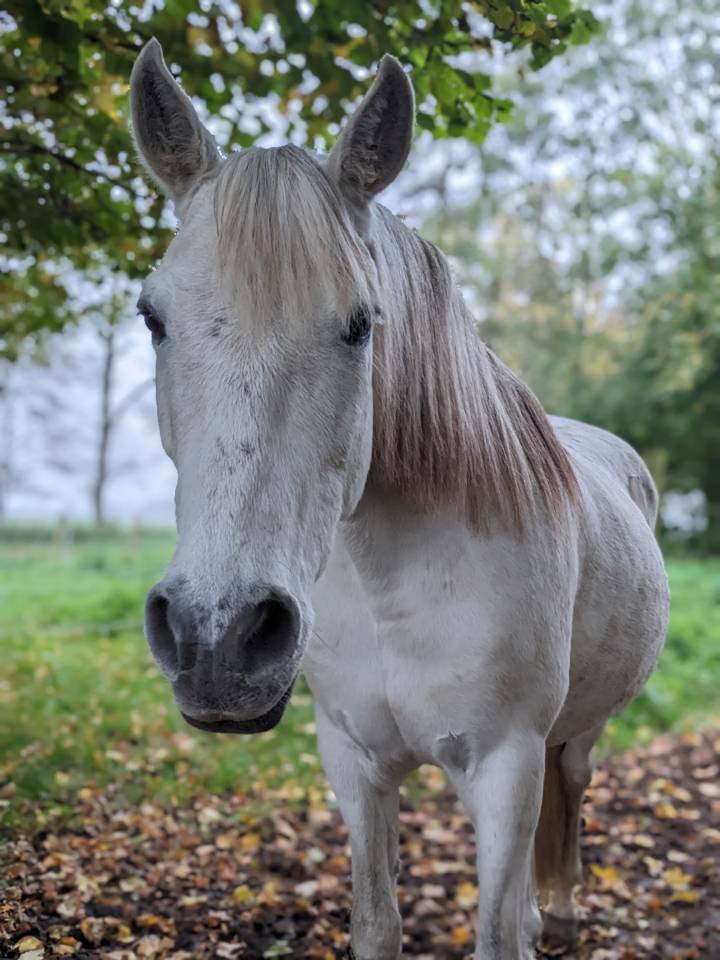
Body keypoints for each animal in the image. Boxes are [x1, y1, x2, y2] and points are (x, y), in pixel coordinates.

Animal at [130, 40, 669, 960]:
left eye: (359, 325)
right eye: (152, 317)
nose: (217, 637)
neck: (392, 581)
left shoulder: (506, 766)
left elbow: (496, 932)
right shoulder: (353, 762)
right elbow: (380, 925)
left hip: (577, 733)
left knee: (573, 783)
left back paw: (559, 910)